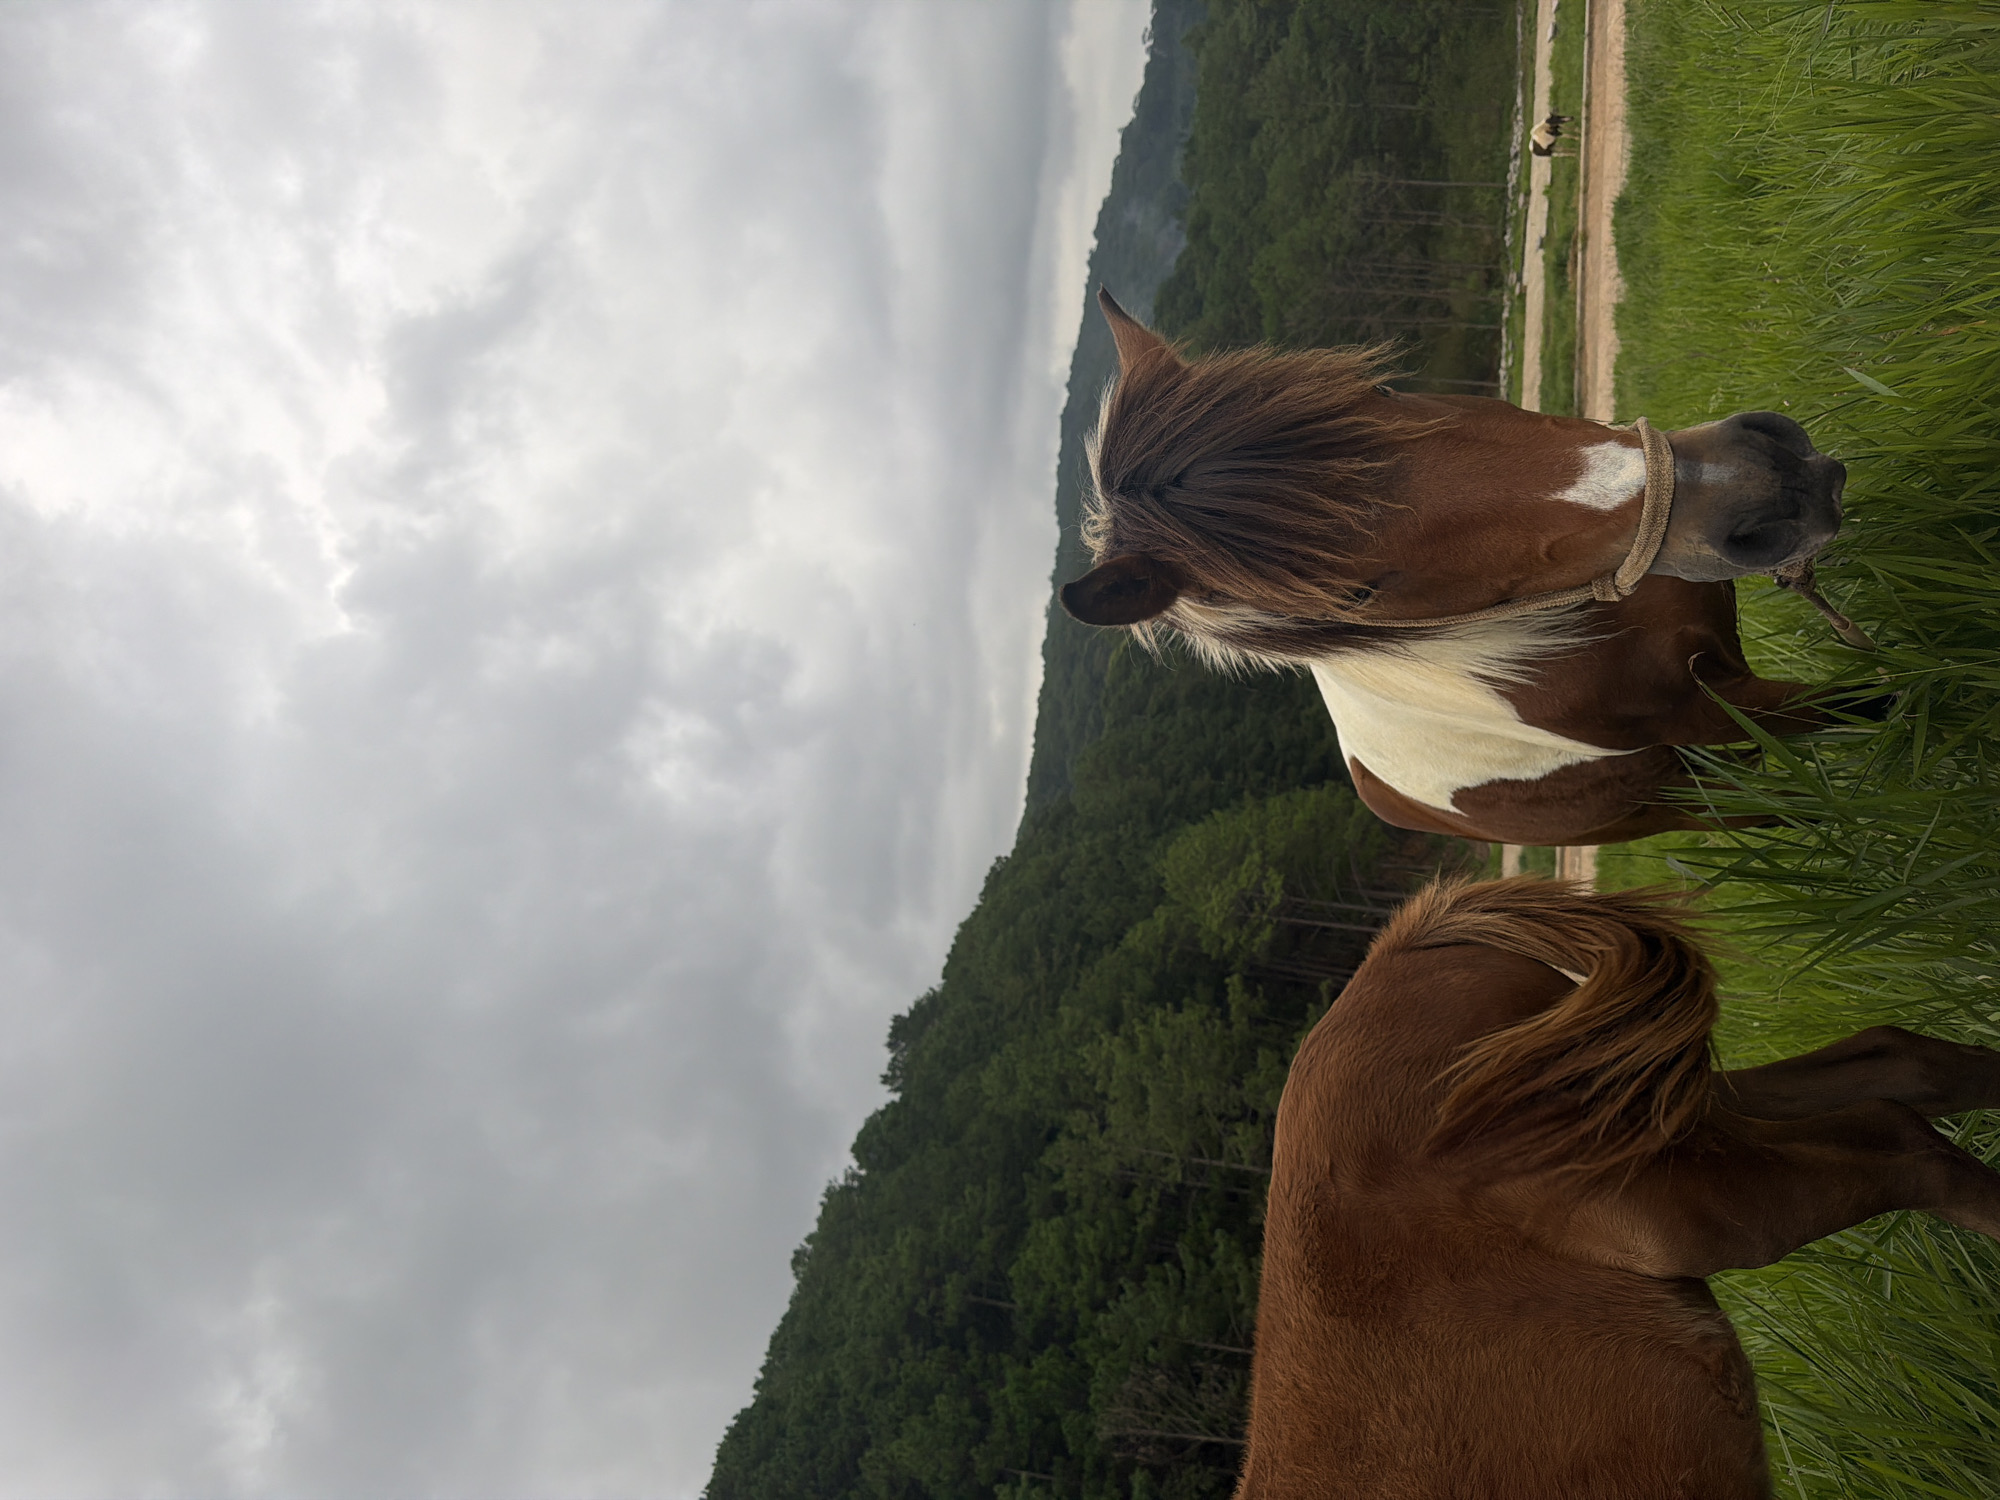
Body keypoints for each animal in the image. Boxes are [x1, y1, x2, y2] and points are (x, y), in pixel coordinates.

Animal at [1060, 291, 1865, 847]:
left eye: (1380, 393)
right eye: (1358, 593)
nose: (1764, 480)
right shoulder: (1716, 712)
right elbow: (1869, 702)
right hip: (1669, 804)